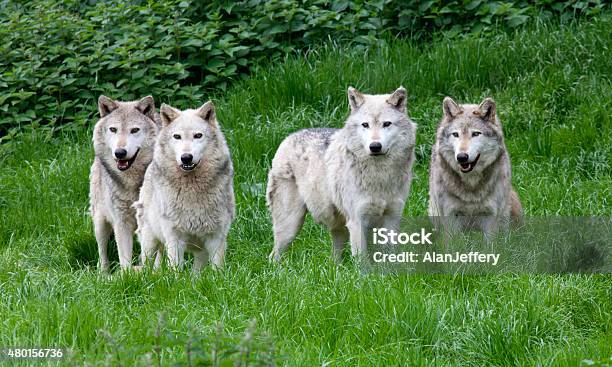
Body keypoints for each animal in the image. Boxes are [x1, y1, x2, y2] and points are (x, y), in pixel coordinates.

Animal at [89, 95, 160, 270]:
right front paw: (127, 275)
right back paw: (103, 272)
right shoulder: (121, 222)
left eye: (134, 130)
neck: (132, 182)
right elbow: (124, 258)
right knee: (102, 251)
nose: (120, 153)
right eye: (113, 129)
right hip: (100, 222)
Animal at [135, 100, 235, 270]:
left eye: (198, 135)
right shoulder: (174, 237)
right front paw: (175, 278)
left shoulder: (216, 237)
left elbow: (217, 269)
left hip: (200, 252)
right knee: (146, 266)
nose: (186, 157)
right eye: (177, 136)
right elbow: (175, 269)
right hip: (150, 242)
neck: (192, 188)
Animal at [266, 87, 416, 264]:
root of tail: (289, 137)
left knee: (335, 256)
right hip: (290, 226)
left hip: (338, 227)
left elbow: (391, 256)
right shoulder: (357, 221)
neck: (380, 175)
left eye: (386, 124)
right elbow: (362, 261)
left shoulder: (392, 218)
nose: (375, 146)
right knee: (273, 256)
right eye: (365, 125)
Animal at [428, 96, 524, 239]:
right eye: (455, 134)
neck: (471, 184)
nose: (462, 157)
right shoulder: (450, 216)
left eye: (476, 134)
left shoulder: (491, 216)